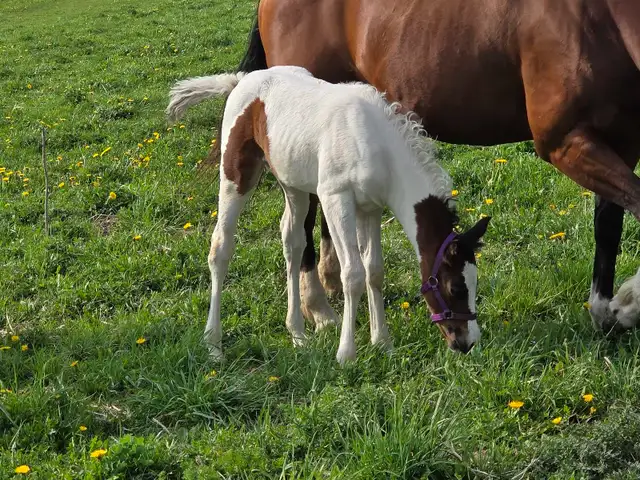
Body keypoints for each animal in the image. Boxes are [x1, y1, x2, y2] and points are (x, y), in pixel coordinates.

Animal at [166, 66, 490, 362]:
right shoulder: (336, 199)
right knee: (221, 247)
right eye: (456, 287)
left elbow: (374, 271)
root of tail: (241, 80)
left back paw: (297, 334)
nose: (467, 342)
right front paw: (346, 354)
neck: (376, 143)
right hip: (236, 174)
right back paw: (214, 345)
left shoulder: (370, 209)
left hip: (293, 184)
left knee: (293, 242)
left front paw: (382, 343)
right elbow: (353, 274)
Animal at [223, 0, 640, 333]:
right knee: (303, 216)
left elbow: (609, 223)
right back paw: (318, 308)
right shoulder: (565, 143)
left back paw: (330, 280)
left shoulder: (621, 142)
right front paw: (629, 303)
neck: (600, 18)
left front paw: (606, 309)